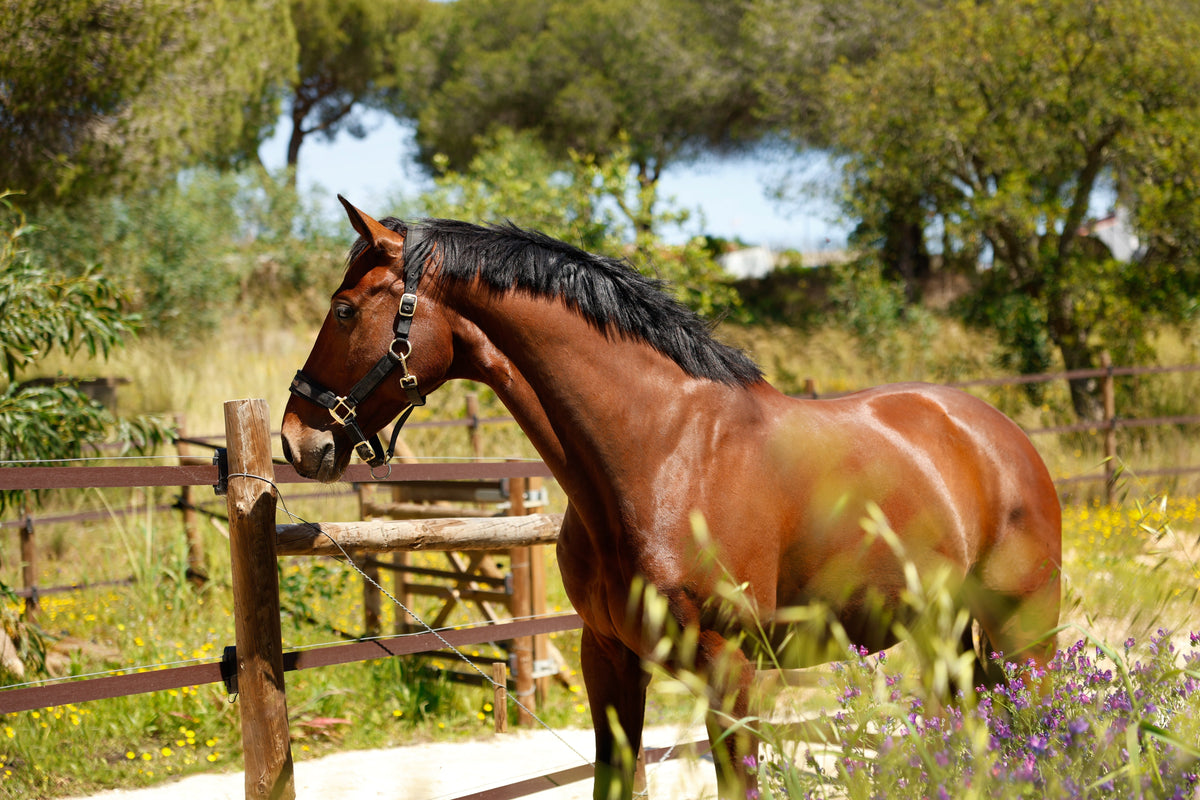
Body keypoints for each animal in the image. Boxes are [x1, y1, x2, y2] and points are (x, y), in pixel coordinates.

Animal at [281, 198, 1062, 799]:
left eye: (344, 309)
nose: (297, 438)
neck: (659, 451)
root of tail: (1001, 437)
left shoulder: (731, 668)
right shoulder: (608, 659)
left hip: (1026, 637)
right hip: (946, 637)